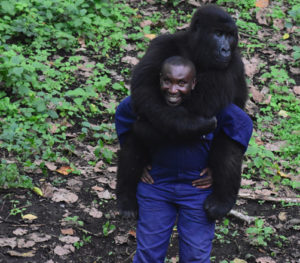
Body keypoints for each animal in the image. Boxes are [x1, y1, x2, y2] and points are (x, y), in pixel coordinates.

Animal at [116, 5, 248, 221]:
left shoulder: (234, 62)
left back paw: (222, 200)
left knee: (233, 124)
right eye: (218, 34)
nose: (226, 49)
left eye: (230, 36)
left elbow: (203, 104)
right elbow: (145, 91)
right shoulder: (162, 43)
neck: (195, 51)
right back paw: (126, 198)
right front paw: (195, 125)